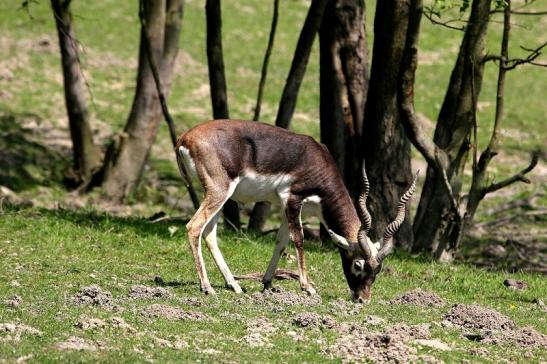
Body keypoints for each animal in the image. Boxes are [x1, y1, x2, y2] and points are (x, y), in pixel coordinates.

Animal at [176, 119, 420, 302]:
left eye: (377, 270)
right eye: (358, 264)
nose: (362, 299)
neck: (316, 161)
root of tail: (185, 137)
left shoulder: (288, 207)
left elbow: (281, 242)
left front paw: (267, 283)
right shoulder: (292, 198)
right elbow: (299, 239)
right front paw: (308, 287)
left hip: (222, 196)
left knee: (209, 234)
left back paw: (234, 285)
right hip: (219, 192)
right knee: (194, 227)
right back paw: (207, 287)